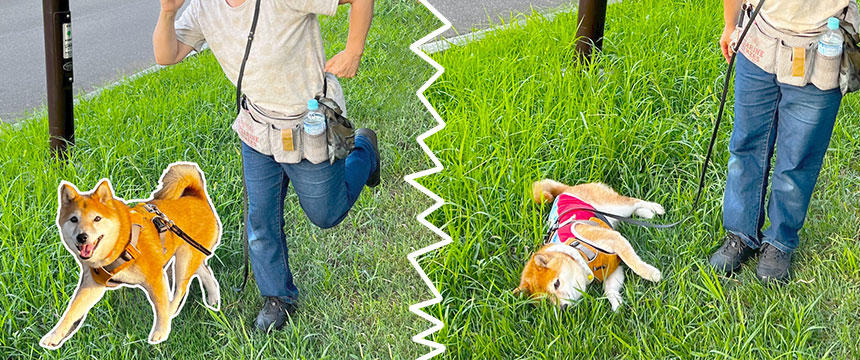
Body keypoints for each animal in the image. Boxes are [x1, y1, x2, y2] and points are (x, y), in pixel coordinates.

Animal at [40, 163, 222, 348]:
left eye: (97, 218)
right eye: (74, 219)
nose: (82, 236)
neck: (122, 243)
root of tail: (198, 196)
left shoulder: (155, 278)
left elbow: (160, 306)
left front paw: (160, 332)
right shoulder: (92, 284)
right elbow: (72, 311)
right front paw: (54, 336)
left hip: (184, 260)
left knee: (180, 290)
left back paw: (173, 311)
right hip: (191, 255)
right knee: (204, 271)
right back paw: (213, 299)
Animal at [516, 179, 664, 310]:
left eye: (556, 284)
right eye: (547, 300)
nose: (563, 308)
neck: (578, 253)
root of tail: (565, 191)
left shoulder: (613, 239)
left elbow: (633, 263)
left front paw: (651, 274)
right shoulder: (613, 270)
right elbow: (609, 290)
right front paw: (616, 303)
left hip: (616, 206)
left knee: (634, 202)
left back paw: (654, 208)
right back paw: (647, 213)